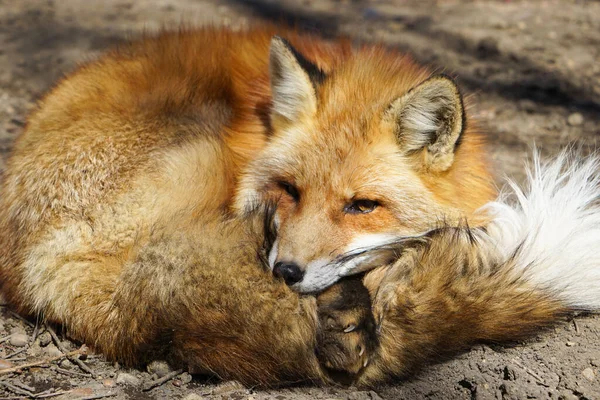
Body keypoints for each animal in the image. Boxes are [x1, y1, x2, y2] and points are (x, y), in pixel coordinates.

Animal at [1, 25, 600, 388]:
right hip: (194, 148)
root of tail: (35, 262)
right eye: (289, 190)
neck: (253, 125)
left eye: (362, 205)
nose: (285, 272)